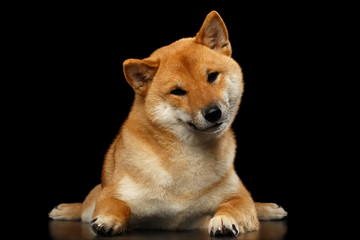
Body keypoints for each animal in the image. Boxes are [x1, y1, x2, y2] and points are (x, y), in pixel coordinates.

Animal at [48, 11, 286, 236]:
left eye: (212, 76)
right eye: (178, 91)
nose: (213, 113)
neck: (188, 156)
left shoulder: (237, 195)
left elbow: (235, 205)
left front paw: (224, 221)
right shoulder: (114, 193)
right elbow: (117, 205)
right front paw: (107, 220)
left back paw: (269, 208)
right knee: (87, 204)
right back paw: (66, 209)